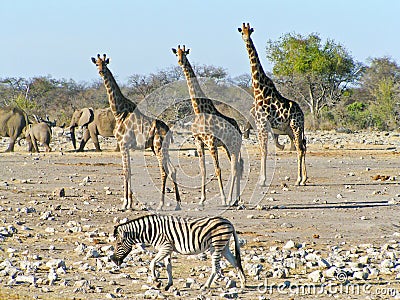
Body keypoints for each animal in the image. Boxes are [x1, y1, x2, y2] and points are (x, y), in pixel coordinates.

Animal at [91, 52, 180, 210]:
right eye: (97, 64)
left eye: (105, 63)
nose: (101, 71)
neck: (119, 112)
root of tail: (169, 130)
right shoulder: (124, 146)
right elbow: (127, 171)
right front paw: (128, 203)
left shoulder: (124, 145)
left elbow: (127, 172)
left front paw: (127, 204)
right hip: (161, 148)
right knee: (173, 170)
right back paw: (177, 205)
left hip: (158, 146)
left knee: (164, 171)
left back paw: (161, 204)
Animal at [111, 213, 245, 290]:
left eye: (118, 244)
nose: (114, 261)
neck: (151, 231)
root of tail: (228, 222)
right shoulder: (168, 249)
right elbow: (168, 267)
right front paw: (168, 284)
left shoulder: (165, 247)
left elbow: (152, 263)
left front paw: (156, 281)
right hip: (224, 247)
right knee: (235, 262)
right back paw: (243, 283)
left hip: (216, 246)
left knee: (215, 268)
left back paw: (205, 286)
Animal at [171, 45, 242, 206]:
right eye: (176, 54)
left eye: (185, 54)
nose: (180, 62)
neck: (199, 111)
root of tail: (240, 131)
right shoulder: (199, 142)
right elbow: (202, 169)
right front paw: (202, 200)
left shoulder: (211, 142)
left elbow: (217, 169)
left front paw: (222, 199)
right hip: (227, 147)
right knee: (237, 167)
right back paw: (236, 199)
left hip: (234, 146)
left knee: (235, 168)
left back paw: (231, 199)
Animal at [239, 22, 308, 185]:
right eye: (242, 32)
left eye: (249, 32)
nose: (246, 39)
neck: (259, 90)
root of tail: (302, 113)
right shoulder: (259, 124)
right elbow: (263, 149)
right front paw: (262, 179)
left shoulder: (262, 123)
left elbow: (264, 150)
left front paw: (262, 180)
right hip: (290, 129)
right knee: (301, 147)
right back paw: (303, 179)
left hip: (296, 126)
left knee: (300, 148)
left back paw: (299, 180)